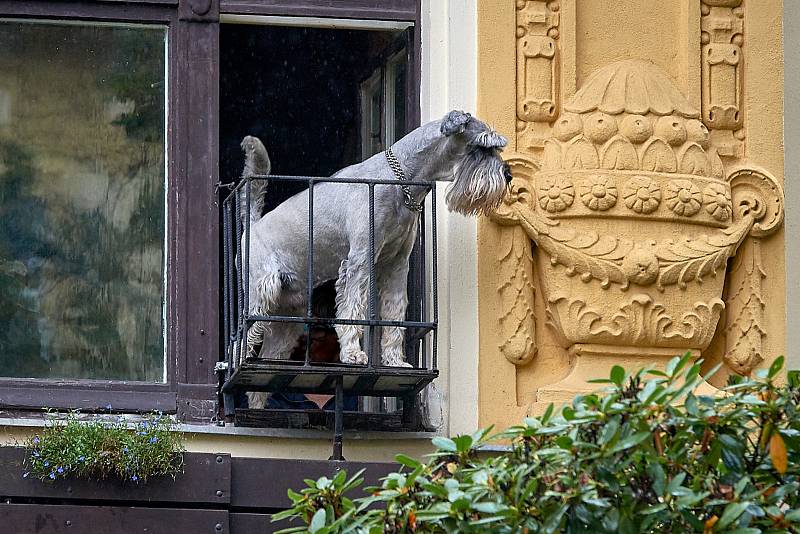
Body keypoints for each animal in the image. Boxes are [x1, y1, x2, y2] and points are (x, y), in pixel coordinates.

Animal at [241, 112, 510, 406]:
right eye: (482, 146)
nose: (508, 175)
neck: (401, 179)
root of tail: (252, 227)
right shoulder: (360, 260)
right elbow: (352, 309)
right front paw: (353, 354)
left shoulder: (397, 266)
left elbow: (394, 313)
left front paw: (394, 361)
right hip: (261, 292)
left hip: (287, 321)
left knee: (265, 367)